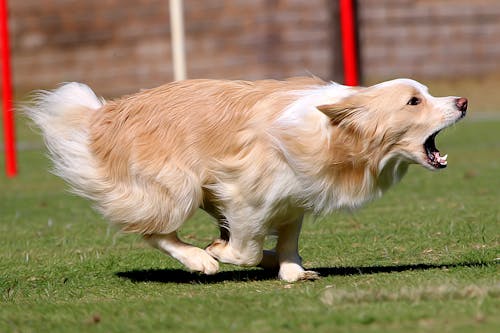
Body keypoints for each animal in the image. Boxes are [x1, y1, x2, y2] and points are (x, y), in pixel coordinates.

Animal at [25, 77, 466, 280]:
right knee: (153, 230)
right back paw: (200, 259)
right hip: (178, 185)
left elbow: (287, 240)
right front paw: (221, 251)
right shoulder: (242, 191)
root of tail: (104, 116)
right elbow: (246, 248)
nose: (463, 101)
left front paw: (291, 269)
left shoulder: (293, 197)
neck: (335, 134)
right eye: (414, 101)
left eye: (426, 92)